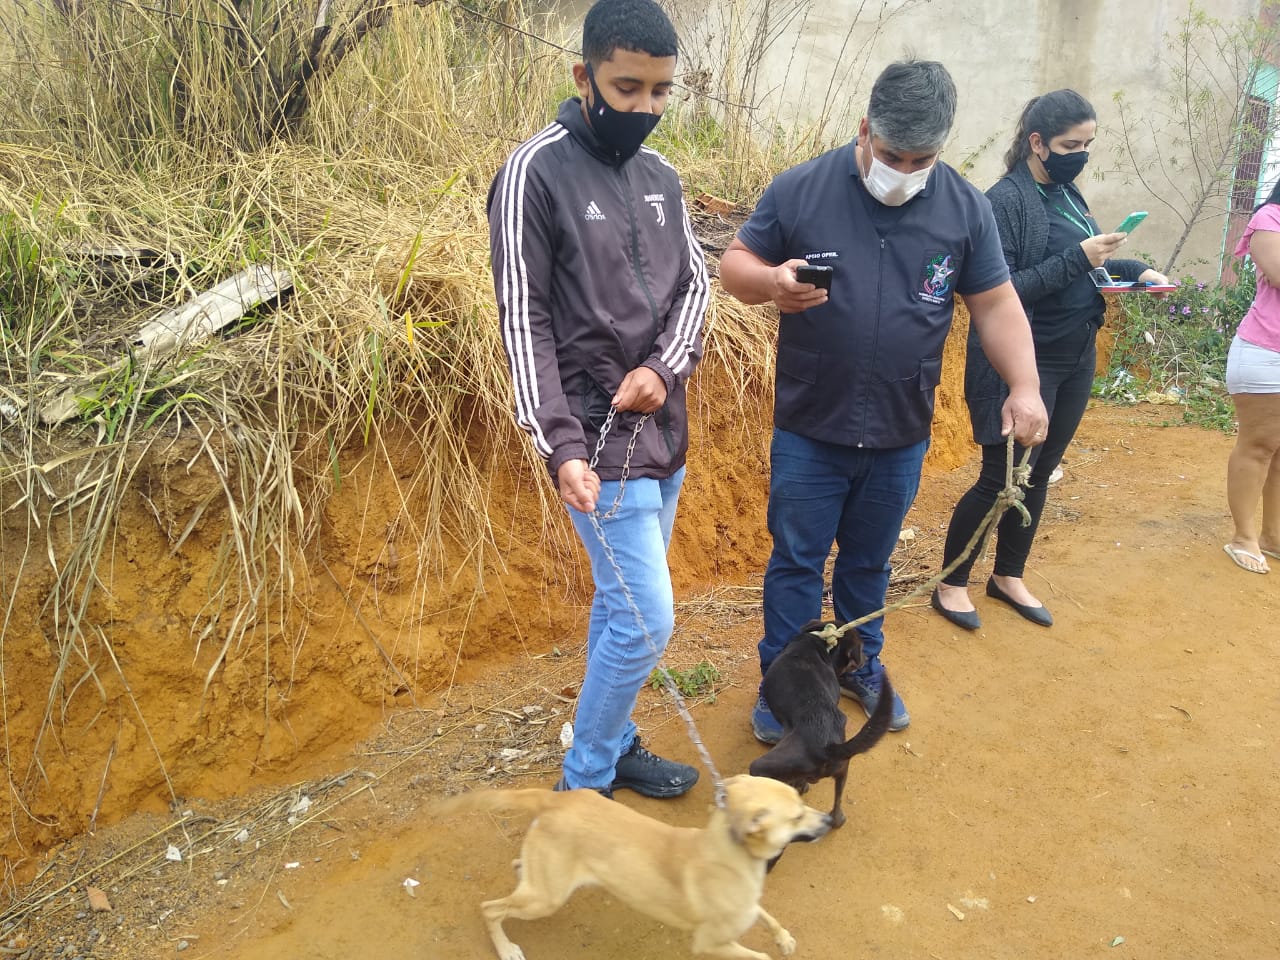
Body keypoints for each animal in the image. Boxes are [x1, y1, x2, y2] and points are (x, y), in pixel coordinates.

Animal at [435, 773, 834, 960]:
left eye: (801, 800)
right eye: (797, 816)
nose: (830, 820)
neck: (731, 855)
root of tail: (556, 799)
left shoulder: (750, 906)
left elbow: (770, 917)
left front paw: (783, 938)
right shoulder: (710, 943)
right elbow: (758, 954)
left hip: (545, 884)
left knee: (519, 868)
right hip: (543, 900)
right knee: (490, 909)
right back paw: (506, 949)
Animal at [747, 619, 890, 829]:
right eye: (862, 648)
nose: (865, 658)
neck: (819, 643)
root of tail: (828, 747)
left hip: (762, 767)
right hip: (843, 771)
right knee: (836, 807)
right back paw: (835, 817)